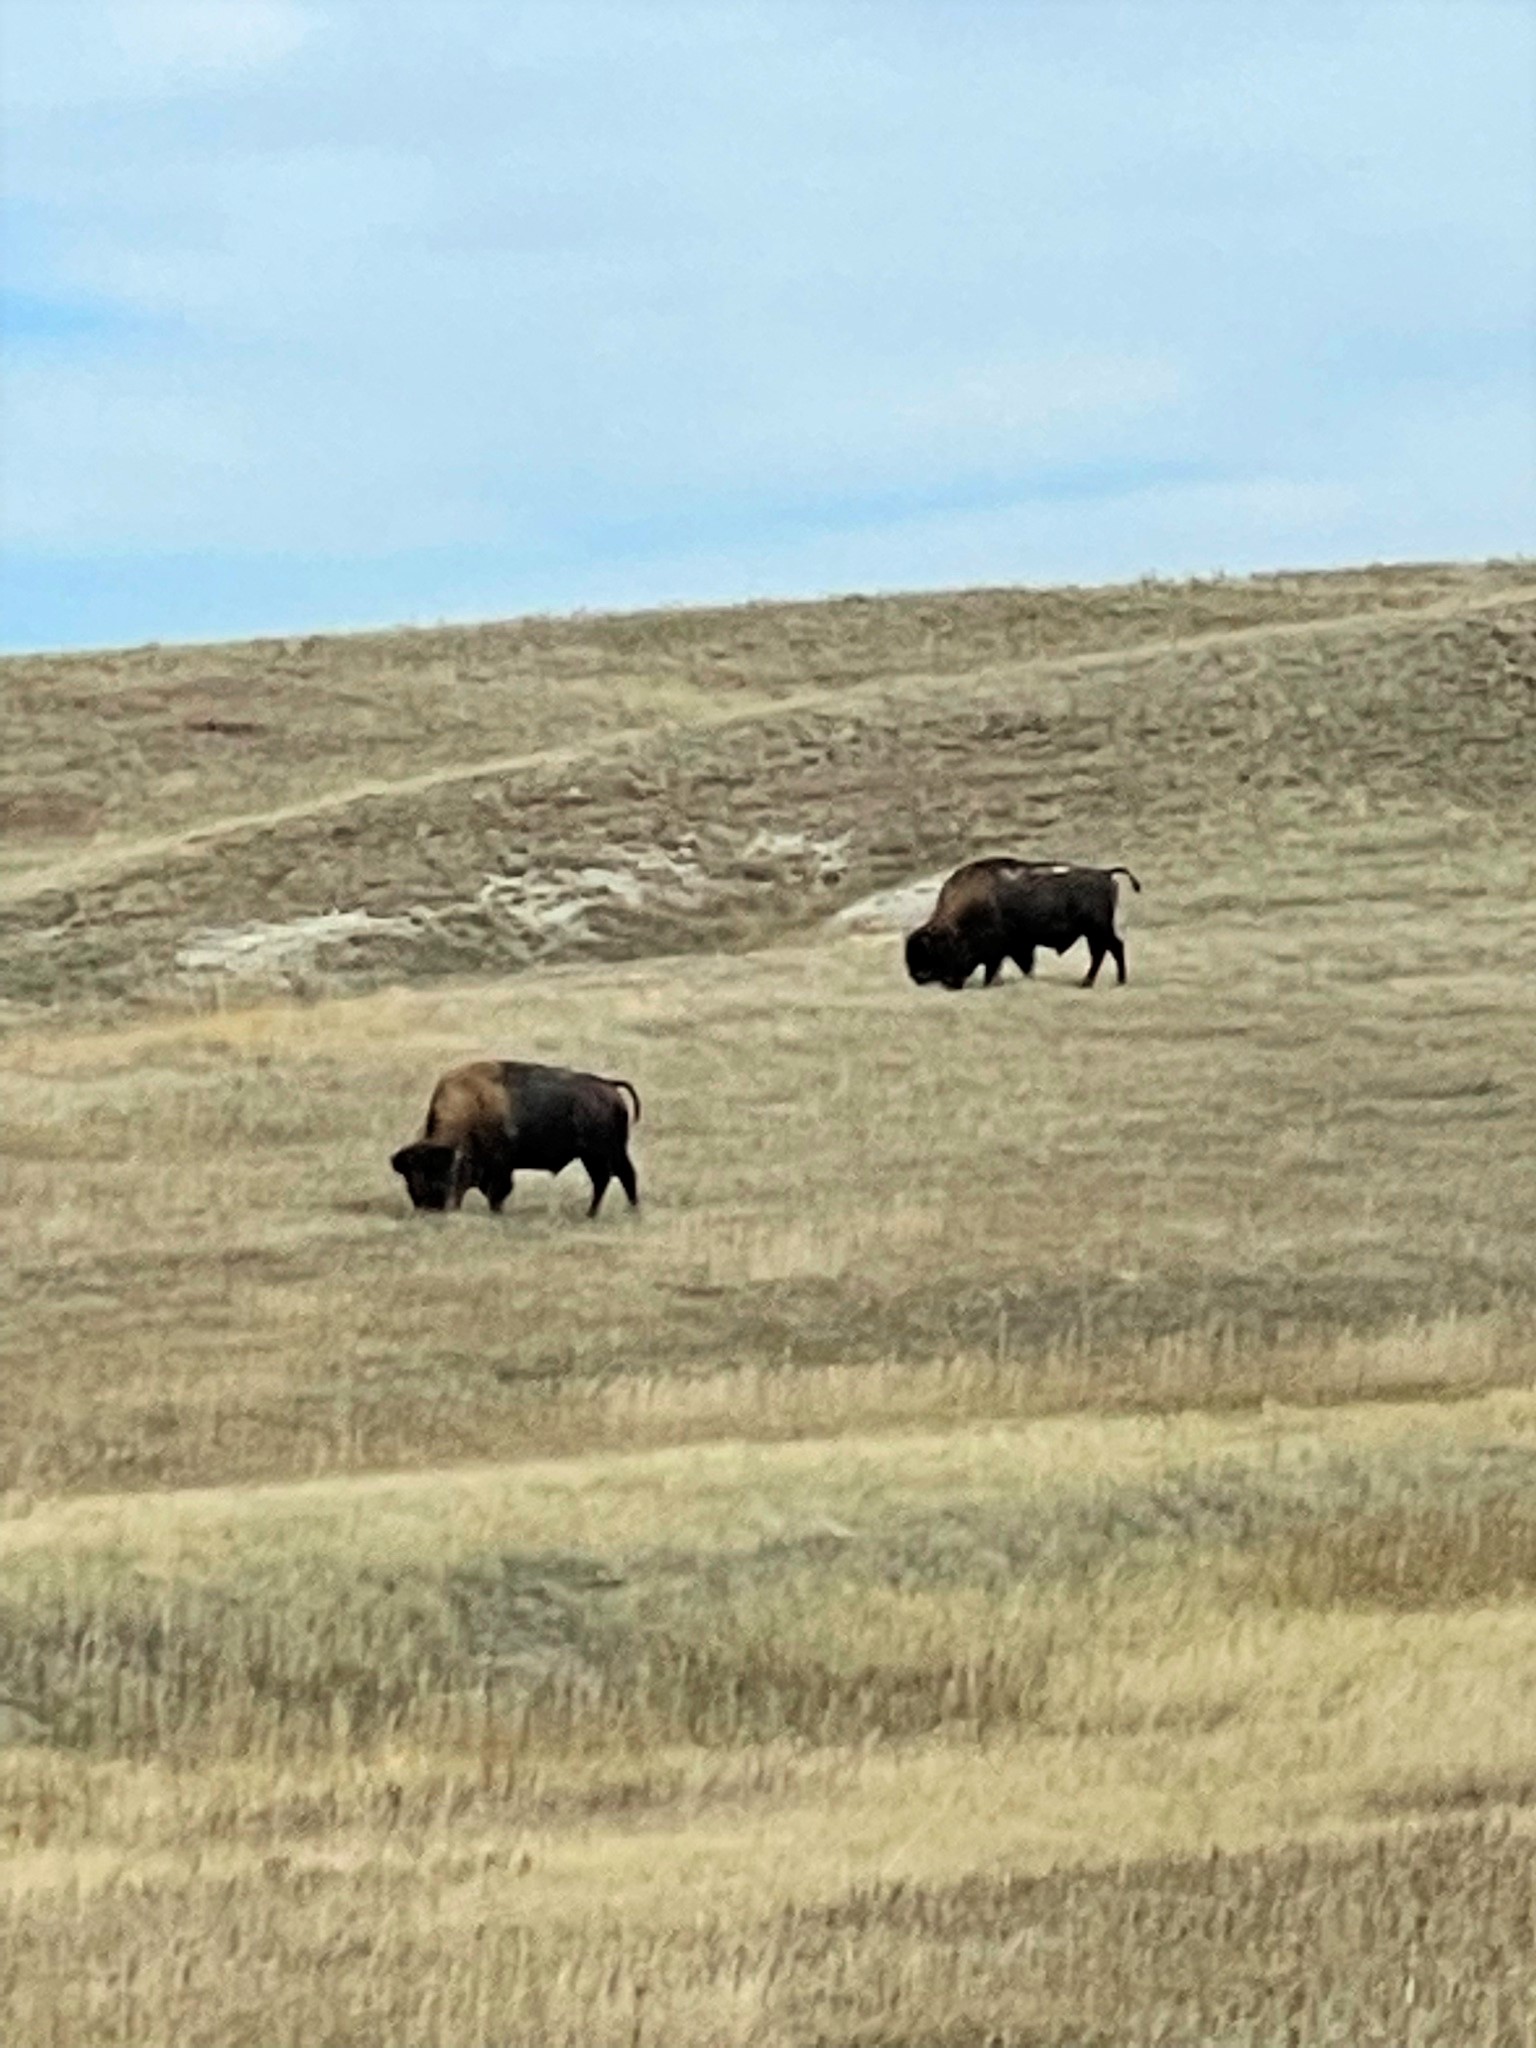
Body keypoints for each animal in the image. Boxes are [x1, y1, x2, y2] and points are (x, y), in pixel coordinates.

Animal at [397, 1056, 643, 1212]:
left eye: (444, 1174)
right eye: (410, 1180)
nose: (431, 1208)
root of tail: (608, 1086)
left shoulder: (499, 1167)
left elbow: (498, 1193)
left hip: (605, 1152)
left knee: (622, 1175)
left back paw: (622, 1212)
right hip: (593, 1156)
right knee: (605, 1179)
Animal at [901, 856, 1146, 991]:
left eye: (931, 951)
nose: (918, 976)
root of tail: (1104, 873)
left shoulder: (1001, 950)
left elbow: (998, 968)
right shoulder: (1017, 948)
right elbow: (1023, 965)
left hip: (1097, 930)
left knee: (1112, 948)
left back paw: (1111, 981)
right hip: (1093, 932)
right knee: (1102, 952)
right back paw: (1093, 982)